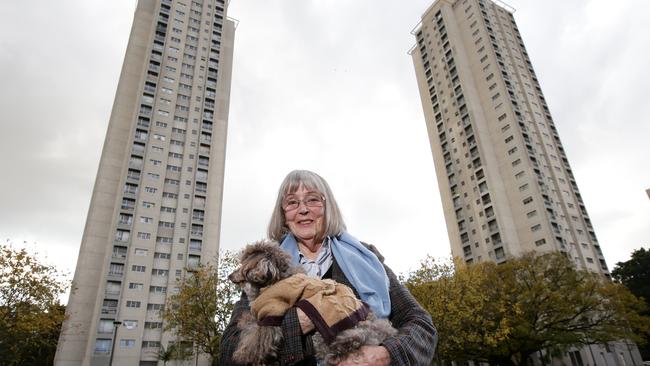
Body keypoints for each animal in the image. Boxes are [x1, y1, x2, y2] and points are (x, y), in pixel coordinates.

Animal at [228, 240, 394, 366]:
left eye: (243, 264)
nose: (230, 276)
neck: (271, 281)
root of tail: (377, 333)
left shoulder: (271, 315)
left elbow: (254, 339)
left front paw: (245, 356)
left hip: (330, 334)